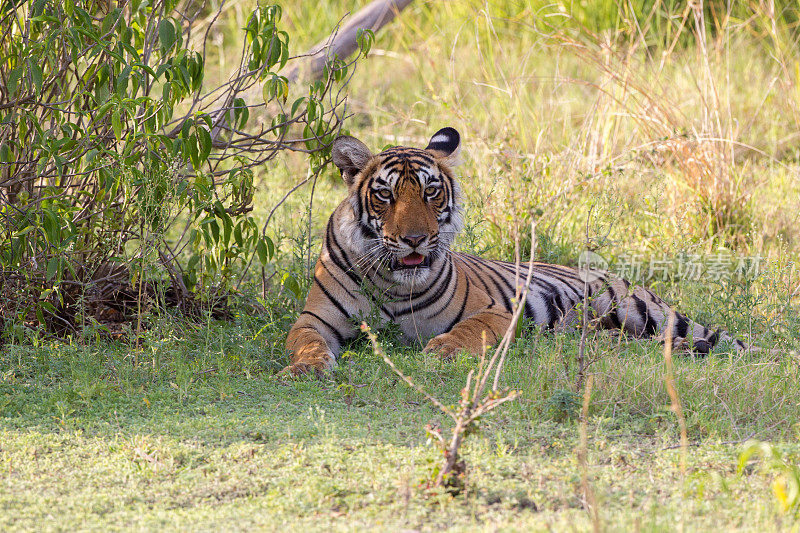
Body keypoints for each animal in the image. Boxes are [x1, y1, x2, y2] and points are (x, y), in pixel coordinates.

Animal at [284, 125, 752, 376]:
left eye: (431, 192)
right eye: (386, 195)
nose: (415, 239)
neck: (392, 282)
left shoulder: (495, 311)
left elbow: (468, 331)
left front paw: (442, 350)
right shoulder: (315, 318)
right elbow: (306, 341)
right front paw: (306, 367)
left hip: (648, 312)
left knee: (721, 339)